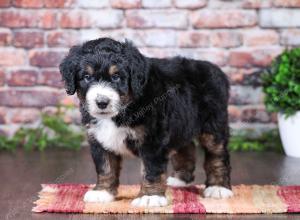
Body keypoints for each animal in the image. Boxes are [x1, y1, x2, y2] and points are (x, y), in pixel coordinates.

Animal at [58, 37, 232, 207]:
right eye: (87, 77)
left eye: (116, 77)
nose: (102, 102)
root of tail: (216, 70)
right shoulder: (98, 138)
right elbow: (105, 167)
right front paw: (102, 192)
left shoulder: (153, 139)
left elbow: (151, 169)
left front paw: (150, 196)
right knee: (185, 146)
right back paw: (180, 180)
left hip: (213, 125)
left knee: (217, 155)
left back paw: (218, 188)